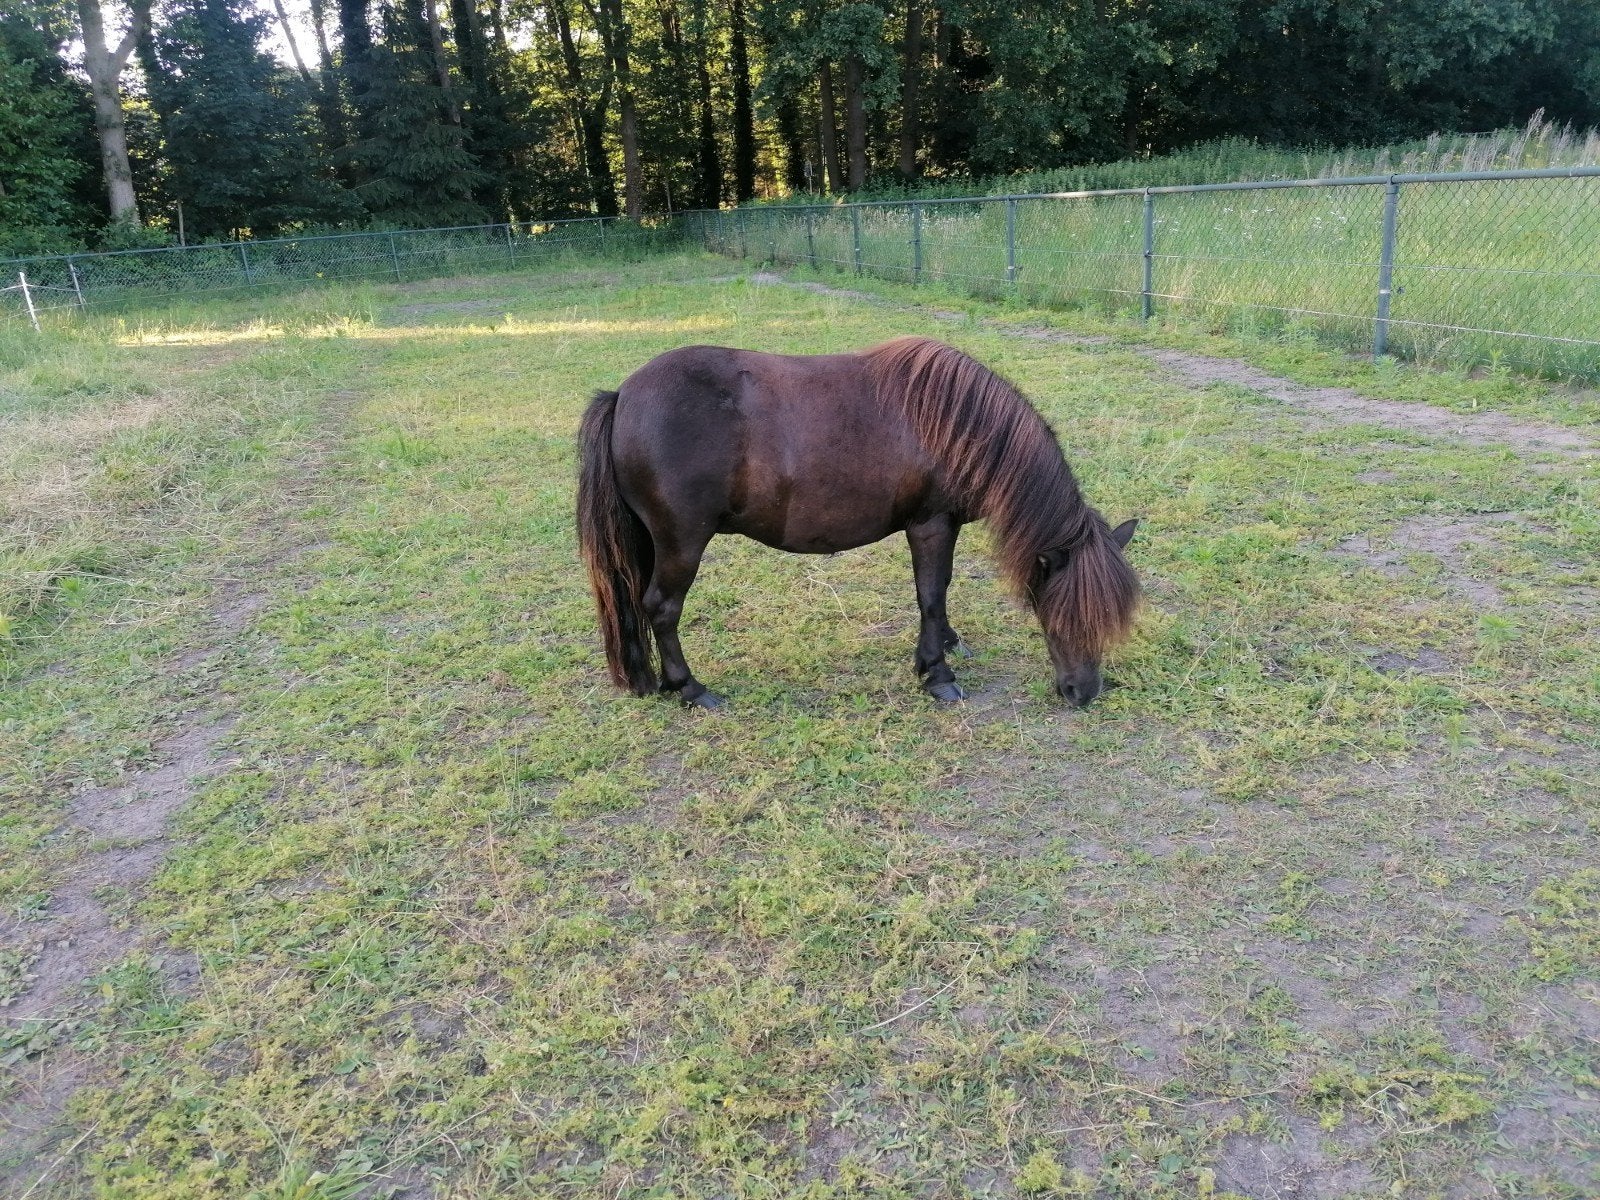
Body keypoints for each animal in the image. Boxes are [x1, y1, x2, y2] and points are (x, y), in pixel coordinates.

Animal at [576, 335, 1140, 709]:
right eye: (1066, 615)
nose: (1083, 693)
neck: (961, 427)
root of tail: (623, 396)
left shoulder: (945, 526)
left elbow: (942, 589)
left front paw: (948, 643)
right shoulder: (930, 524)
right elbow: (930, 594)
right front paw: (937, 674)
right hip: (681, 543)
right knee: (662, 608)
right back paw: (691, 689)